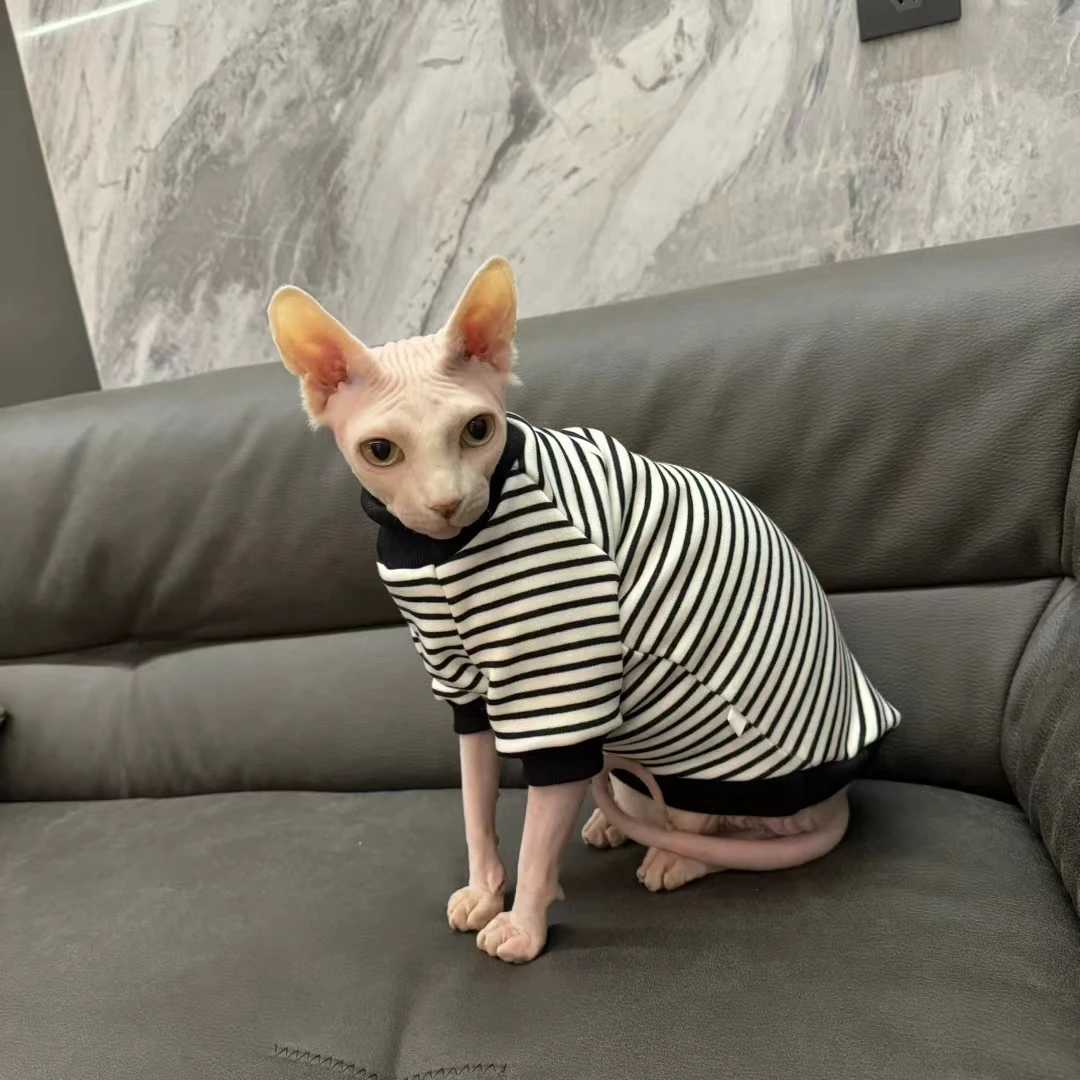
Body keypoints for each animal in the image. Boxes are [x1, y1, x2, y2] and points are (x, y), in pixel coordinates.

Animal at [268, 257, 900, 965]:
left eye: (477, 430)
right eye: (382, 451)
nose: (447, 503)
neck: (437, 552)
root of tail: (840, 796)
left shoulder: (560, 686)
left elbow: (541, 828)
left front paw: (521, 924)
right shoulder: (462, 681)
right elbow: (474, 796)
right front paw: (484, 891)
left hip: (715, 762)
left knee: (722, 831)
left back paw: (674, 858)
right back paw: (613, 824)